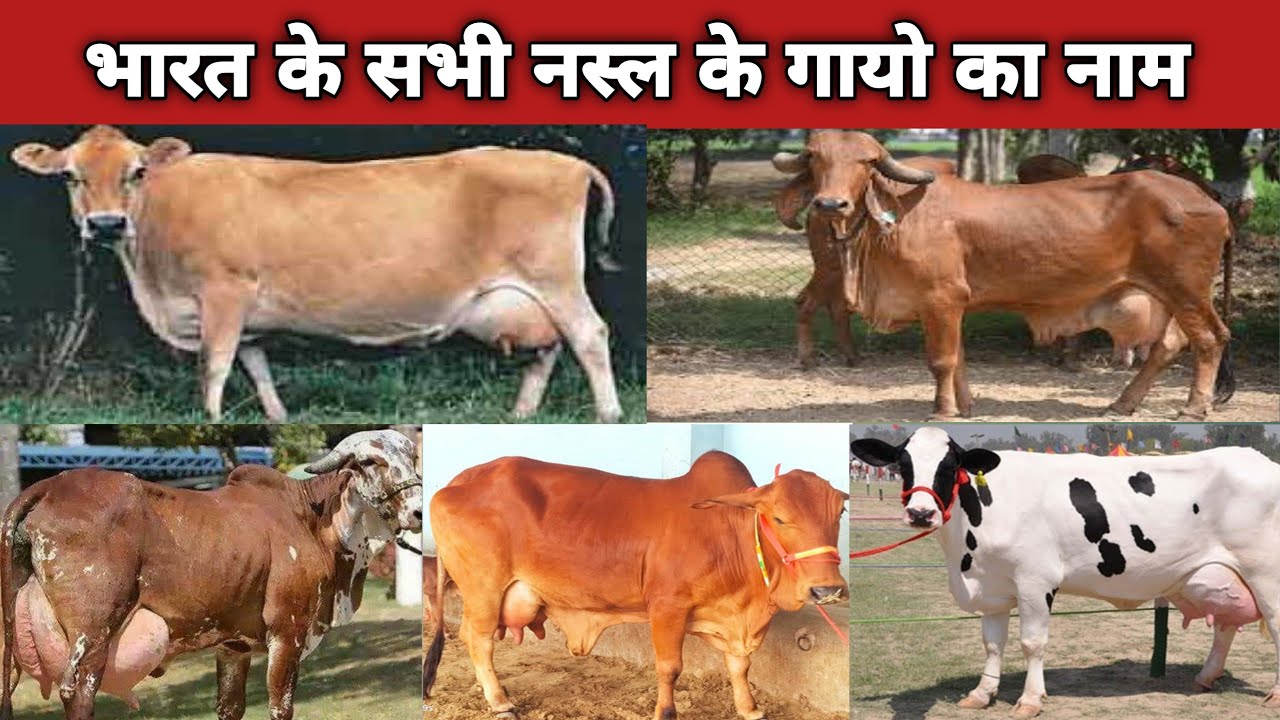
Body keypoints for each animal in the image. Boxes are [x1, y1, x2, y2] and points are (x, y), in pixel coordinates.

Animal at [0, 429, 423, 720]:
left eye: (413, 457)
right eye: (370, 462)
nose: (419, 510)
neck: (312, 519)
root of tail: (48, 486)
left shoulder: (233, 647)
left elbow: (229, 707)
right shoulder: (287, 632)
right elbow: (281, 705)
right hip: (94, 631)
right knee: (78, 693)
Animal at [11, 126, 623, 423]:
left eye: (137, 172)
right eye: (69, 176)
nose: (106, 224)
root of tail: (567, 162)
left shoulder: (225, 289)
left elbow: (214, 365)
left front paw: (211, 416)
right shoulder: (246, 313)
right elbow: (255, 367)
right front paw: (276, 417)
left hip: (556, 279)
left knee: (589, 335)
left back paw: (609, 413)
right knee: (547, 351)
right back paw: (521, 415)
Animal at [422, 451, 849, 720]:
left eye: (839, 512)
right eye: (779, 518)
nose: (826, 590)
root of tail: (458, 481)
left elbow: (740, 666)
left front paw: (749, 708)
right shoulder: (667, 606)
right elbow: (670, 667)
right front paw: (666, 711)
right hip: (484, 590)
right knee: (477, 639)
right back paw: (500, 702)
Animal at [851, 426, 1280, 717]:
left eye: (951, 464)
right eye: (902, 464)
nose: (920, 513)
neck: (964, 554)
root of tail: (1260, 460)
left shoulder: (1034, 579)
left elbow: (1032, 643)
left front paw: (1029, 699)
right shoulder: (992, 586)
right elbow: (992, 644)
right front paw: (981, 694)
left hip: (1267, 575)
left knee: (1275, 626)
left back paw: (1274, 693)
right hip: (1222, 576)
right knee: (1226, 626)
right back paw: (1207, 676)